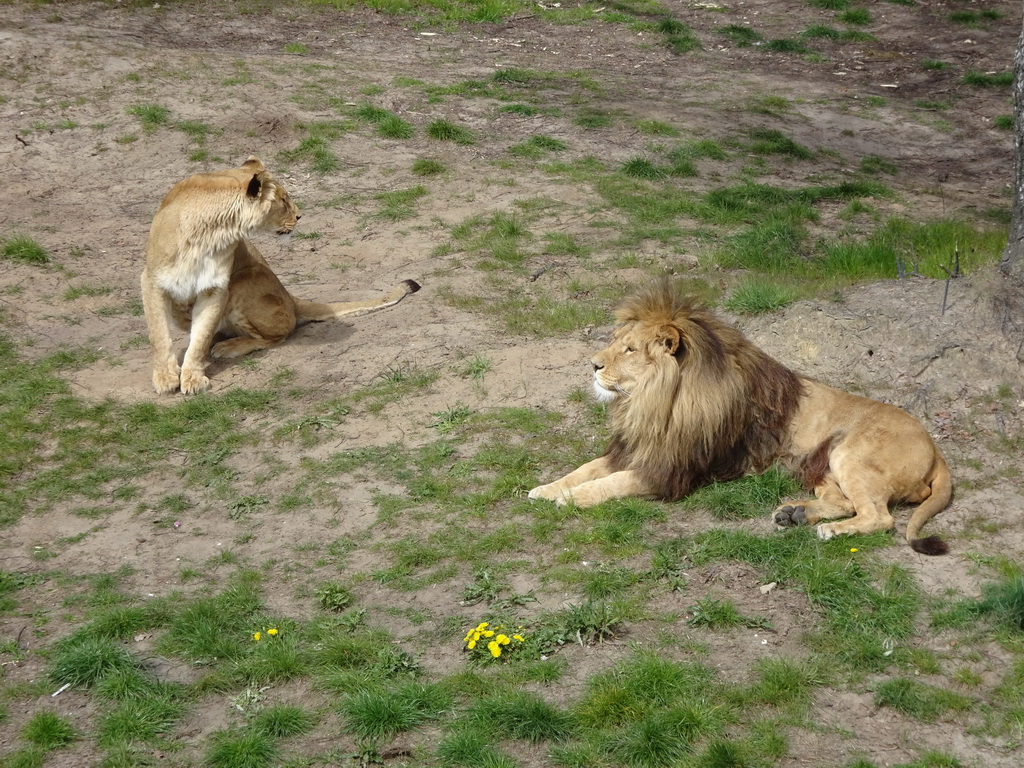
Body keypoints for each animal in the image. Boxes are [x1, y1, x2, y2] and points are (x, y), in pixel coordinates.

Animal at [140, 156, 419, 397]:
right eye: (283, 200)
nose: (299, 215)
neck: (211, 231)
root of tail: (291, 297)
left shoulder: (216, 288)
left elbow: (200, 339)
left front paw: (193, 378)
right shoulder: (152, 280)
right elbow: (159, 334)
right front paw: (165, 379)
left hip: (242, 282)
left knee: (277, 335)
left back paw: (228, 346)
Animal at [528, 280, 950, 557]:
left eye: (629, 349)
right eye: (616, 342)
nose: (593, 364)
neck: (654, 405)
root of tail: (935, 449)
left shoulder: (671, 470)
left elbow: (609, 484)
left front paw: (569, 498)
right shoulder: (636, 449)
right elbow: (585, 469)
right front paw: (545, 489)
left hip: (850, 454)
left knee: (879, 517)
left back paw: (828, 530)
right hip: (824, 466)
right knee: (848, 503)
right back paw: (794, 514)